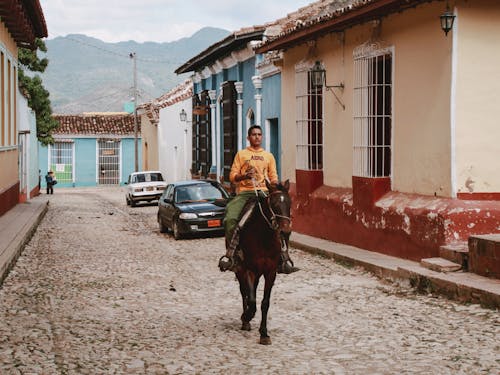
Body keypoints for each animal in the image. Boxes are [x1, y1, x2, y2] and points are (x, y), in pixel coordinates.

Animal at [235, 180, 292, 346]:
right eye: (274, 204)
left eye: (289, 202)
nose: (285, 231)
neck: (264, 238)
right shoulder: (248, 270)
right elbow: (252, 299)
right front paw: (246, 316)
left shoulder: (270, 272)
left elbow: (265, 302)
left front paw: (264, 333)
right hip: (240, 270)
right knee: (244, 291)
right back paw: (245, 320)